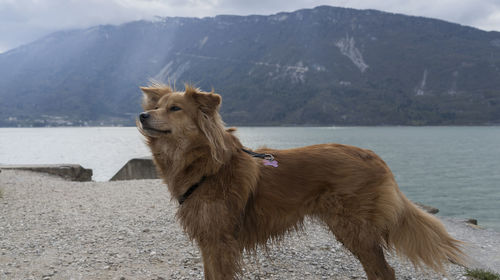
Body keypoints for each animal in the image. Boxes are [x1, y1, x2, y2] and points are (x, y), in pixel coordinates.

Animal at [136, 83, 464, 280]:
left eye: (175, 109)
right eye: (155, 106)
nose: (142, 115)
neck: (208, 165)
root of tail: (375, 157)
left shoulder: (220, 240)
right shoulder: (208, 239)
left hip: (353, 228)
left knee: (383, 272)